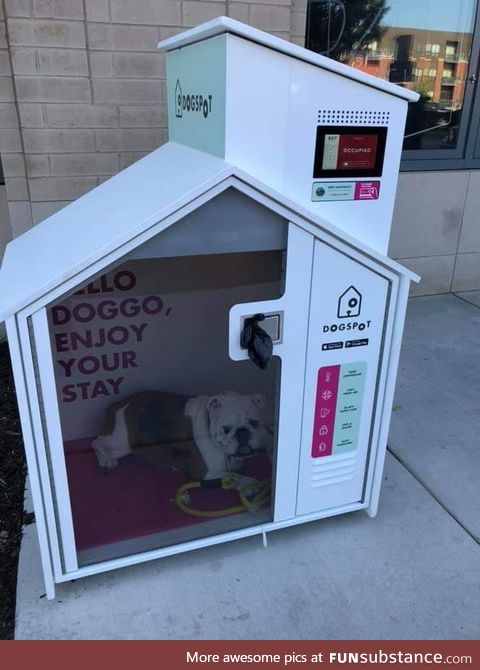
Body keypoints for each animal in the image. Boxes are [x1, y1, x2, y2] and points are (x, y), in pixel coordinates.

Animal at [91, 388, 268, 484]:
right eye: (226, 429)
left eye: (255, 423)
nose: (242, 433)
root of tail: (119, 403)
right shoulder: (208, 472)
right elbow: (237, 477)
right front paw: (249, 484)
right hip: (119, 443)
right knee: (96, 442)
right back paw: (106, 461)